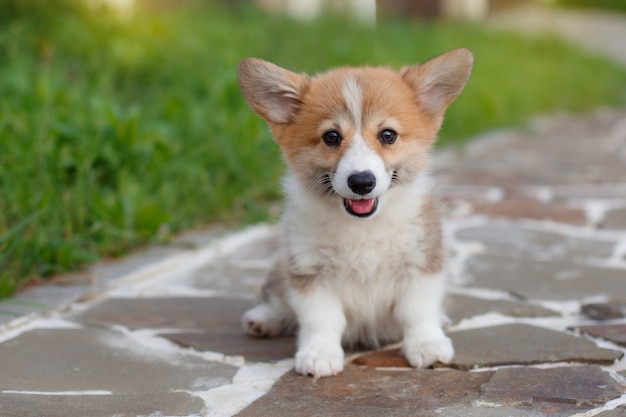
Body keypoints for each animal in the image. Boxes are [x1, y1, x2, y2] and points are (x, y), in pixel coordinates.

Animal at [236, 48, 470, 376]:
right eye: (331, 137)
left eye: (388, 135)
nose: (361, 182)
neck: (364, 226)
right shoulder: (310, 271)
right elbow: (321, 318)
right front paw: (319, 354)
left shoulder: (421, 262)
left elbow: (417, 311)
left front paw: (427, 346)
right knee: (277, 296)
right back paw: (264, 318)